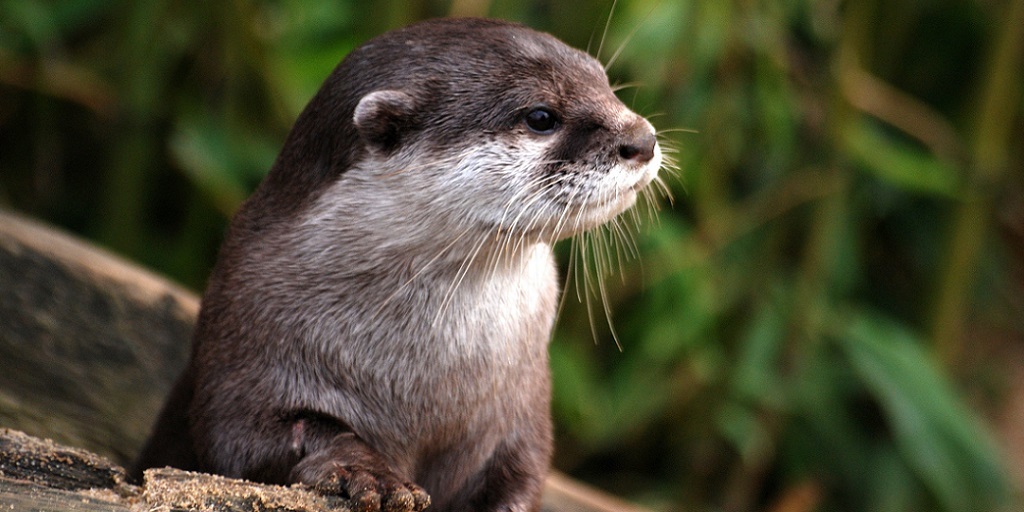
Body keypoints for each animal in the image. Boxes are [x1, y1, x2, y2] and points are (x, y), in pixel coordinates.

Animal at [134, 16, 663, 512]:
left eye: (604, 82)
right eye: (540, 116)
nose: (643, 139)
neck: (425, 381)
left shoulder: (522, 413)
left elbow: (524, 472)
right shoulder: (243, 344)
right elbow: (248, 438)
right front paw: (366, 472)